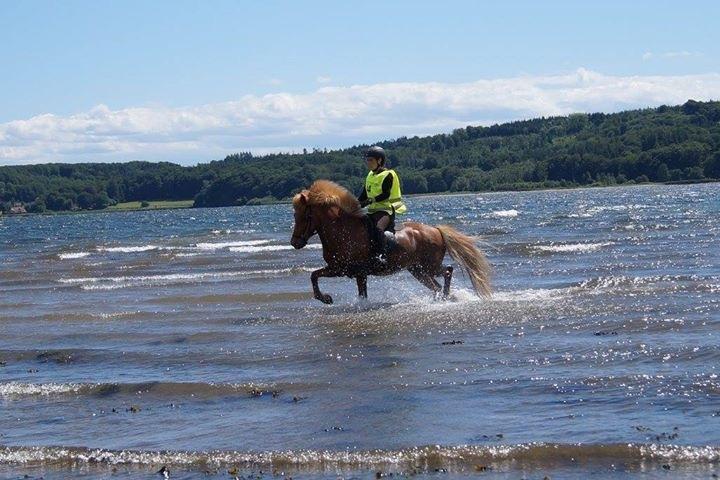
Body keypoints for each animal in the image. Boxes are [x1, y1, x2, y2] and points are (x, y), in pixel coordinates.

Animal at [290, 180, 492, 304]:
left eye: (304, 216)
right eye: (294, 215)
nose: (294, 243)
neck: (343, 231)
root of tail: (436, 230)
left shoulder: (344, 269)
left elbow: (314, 276)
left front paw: (326, 298)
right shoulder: (348, 270)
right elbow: (316, 276)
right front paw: (327, 299)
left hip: (429, 266)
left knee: (448, 271)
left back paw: (444, 297)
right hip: (417, 269)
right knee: (437, 284)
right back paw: (442, 298)